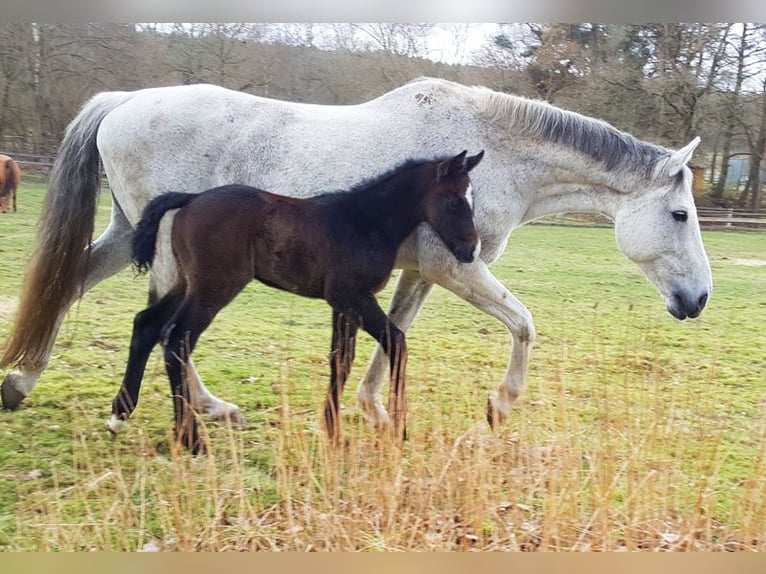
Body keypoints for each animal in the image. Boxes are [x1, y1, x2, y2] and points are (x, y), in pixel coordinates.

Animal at [106, 153, 486, 454]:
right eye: (455, 202)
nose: (470, 251)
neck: (365, 222)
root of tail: (192, 198)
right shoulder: (352, 297)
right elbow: (397, 342)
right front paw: (398, 429)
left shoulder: (343, 304)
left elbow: (340, 360)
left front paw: (333, 431)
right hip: (213, 289)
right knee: (176, 341)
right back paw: (192, 439)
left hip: (187, 282)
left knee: (146, 324)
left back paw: (119, 415)